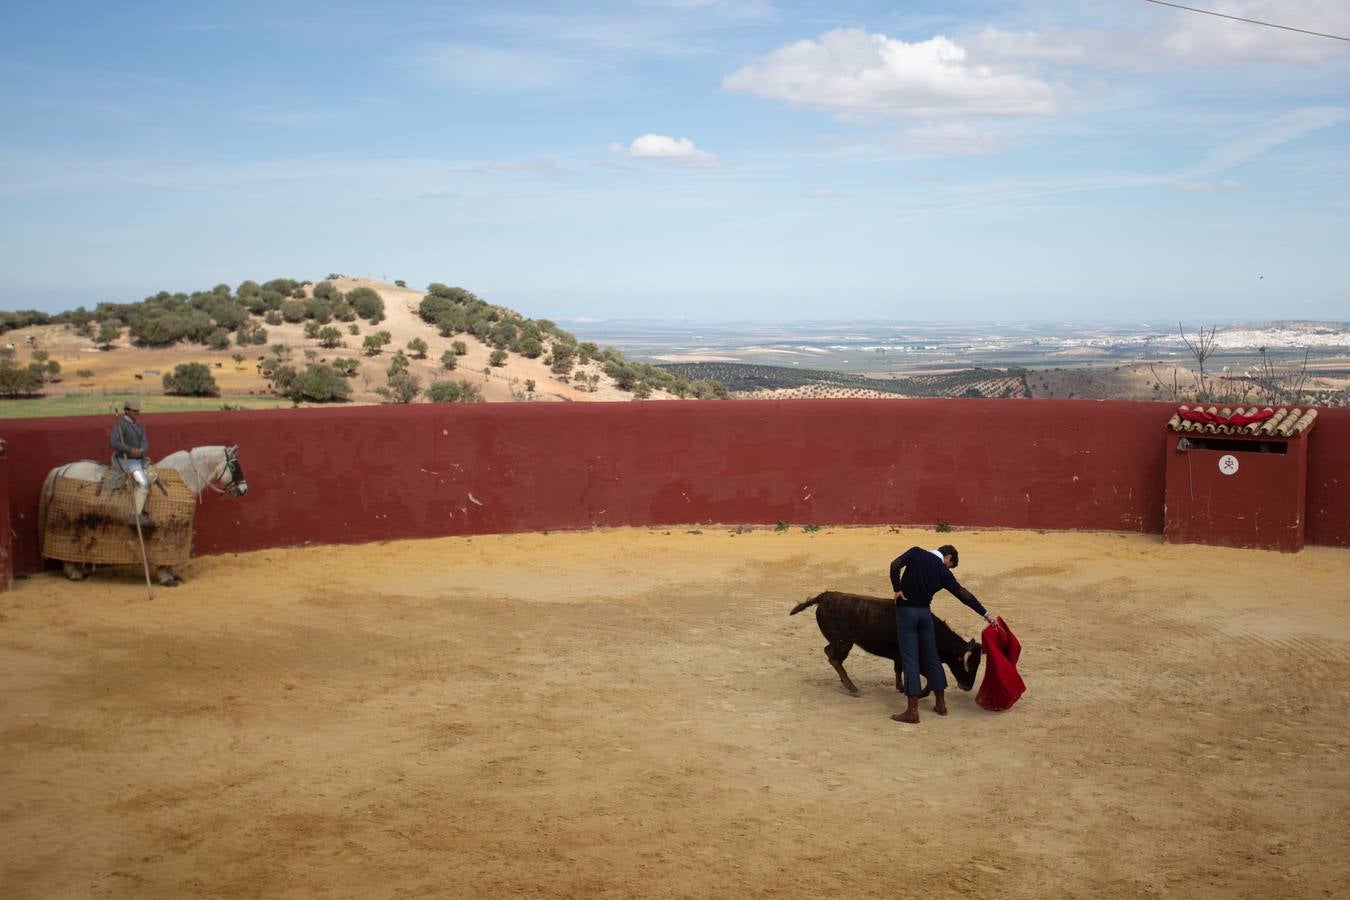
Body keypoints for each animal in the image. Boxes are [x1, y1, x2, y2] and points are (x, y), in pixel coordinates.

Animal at [39, 447, 249, 588]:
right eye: (233, 465)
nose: (244, 489)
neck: (182, 477)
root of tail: (63, 469)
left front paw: (173, 574)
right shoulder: (168, 531)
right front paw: (167, 578)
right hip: (71, 521)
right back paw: (74, 573)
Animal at [788, 591, 982, 696]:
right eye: (968, 665)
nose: (967, 687)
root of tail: (825, 596)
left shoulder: (900, 657)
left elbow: (898, 669)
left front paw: (901, 687)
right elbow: (929, 677)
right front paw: (918, 692)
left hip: (840, 642)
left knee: (829, 652)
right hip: (845, 642)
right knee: (834, 658)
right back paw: (852, 687)